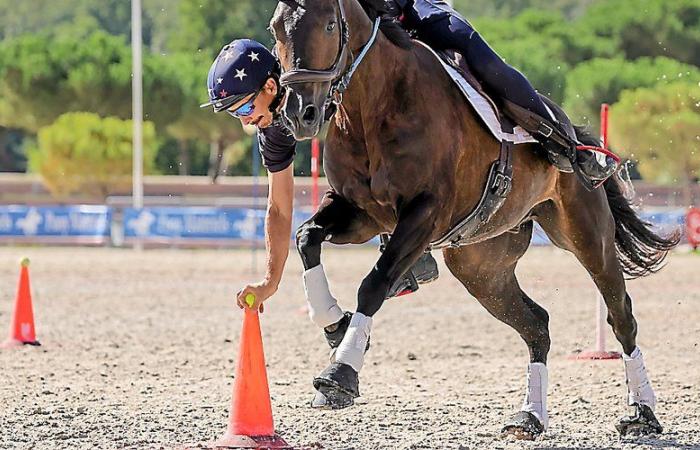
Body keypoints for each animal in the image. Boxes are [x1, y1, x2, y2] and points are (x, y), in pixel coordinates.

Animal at [270, 0, 680, 440]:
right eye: (275, 28)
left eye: (330, 25)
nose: (300, 114)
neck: (376, 105)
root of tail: (572, 128)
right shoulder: (360, 211)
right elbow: (307, 237)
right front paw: (335, 326)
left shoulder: (424, 214)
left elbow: (374, 284)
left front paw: (340, 372)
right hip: (481, 267)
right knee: (536, 324)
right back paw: (530, 416)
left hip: (587, 236)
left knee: (621, 316)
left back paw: (642, 411)